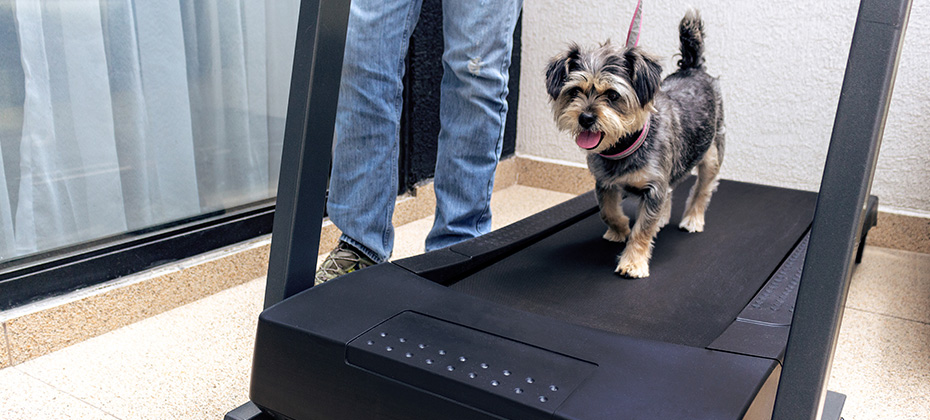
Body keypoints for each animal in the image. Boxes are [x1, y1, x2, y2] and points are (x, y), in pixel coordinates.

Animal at [544, 9, 724, 278]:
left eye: (612, 95)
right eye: (574, 91)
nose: (585, 118)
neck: (623, 146)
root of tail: (693, 69)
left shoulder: (654, 186)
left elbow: (642, 230)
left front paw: (633, 261)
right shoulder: (604, 182)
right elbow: (608, 212)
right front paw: (620, 230)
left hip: (712, 153)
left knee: (703, 189)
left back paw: (693, 218)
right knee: (670, 191)